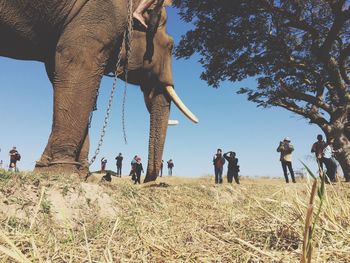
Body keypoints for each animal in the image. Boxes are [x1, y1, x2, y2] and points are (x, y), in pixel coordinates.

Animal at [0, 0, 197, 183]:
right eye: (171, 46)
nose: (146, 180)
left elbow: (59, 73)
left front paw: (79, 175)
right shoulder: (98, 16)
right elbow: (77, 64)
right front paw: (61, 173)